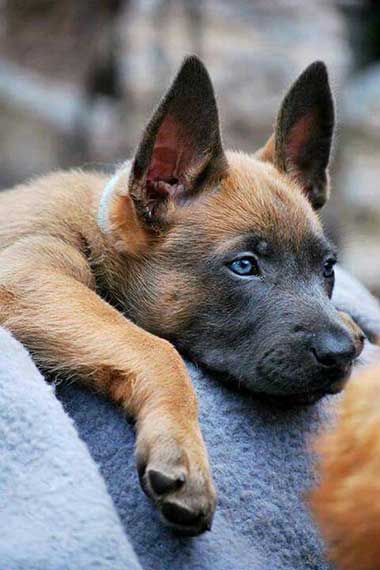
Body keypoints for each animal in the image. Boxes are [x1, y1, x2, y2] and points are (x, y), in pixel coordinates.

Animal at [0, 56, 362, 532]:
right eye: (244, 266)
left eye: (328, 268)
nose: (340, 354)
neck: (98, 235)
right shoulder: (28, 271)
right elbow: (157, 349)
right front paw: (181, 447)